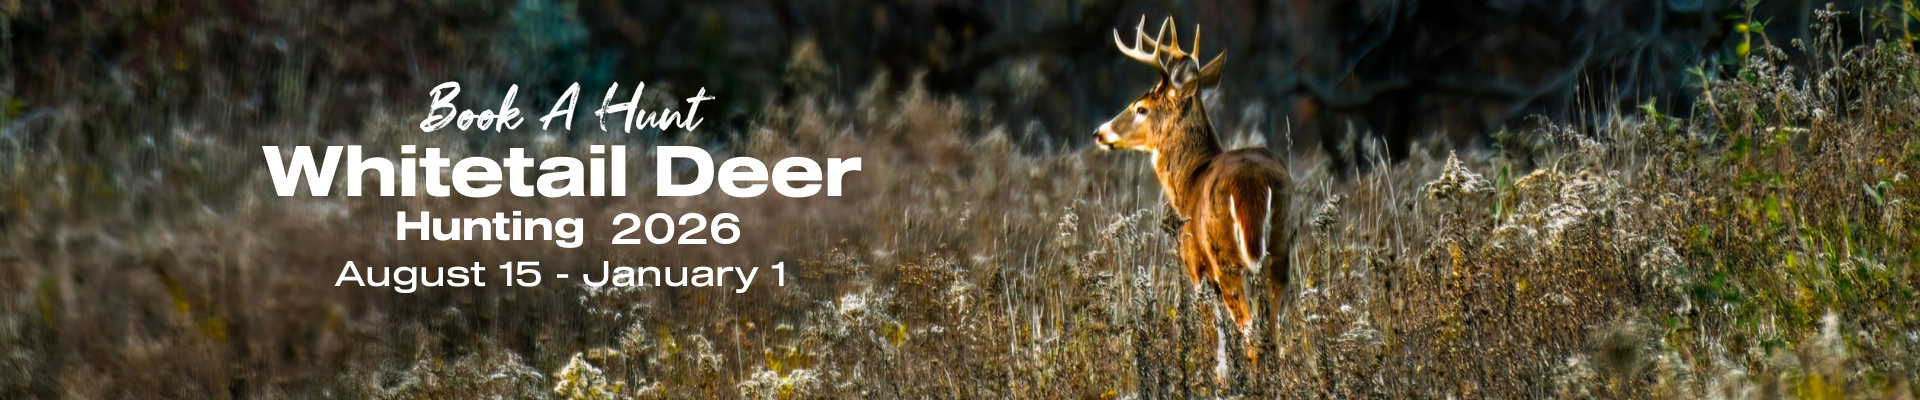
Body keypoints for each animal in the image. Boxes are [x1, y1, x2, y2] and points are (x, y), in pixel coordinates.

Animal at [1094, 17, 1293, 333]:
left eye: (1141, 108)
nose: (1099, 133)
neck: (1190, 181)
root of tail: (1253, 183)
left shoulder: (1195, 265)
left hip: (1225, 257)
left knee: (1248, 325)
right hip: (1280, 249)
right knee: (1273, 326)